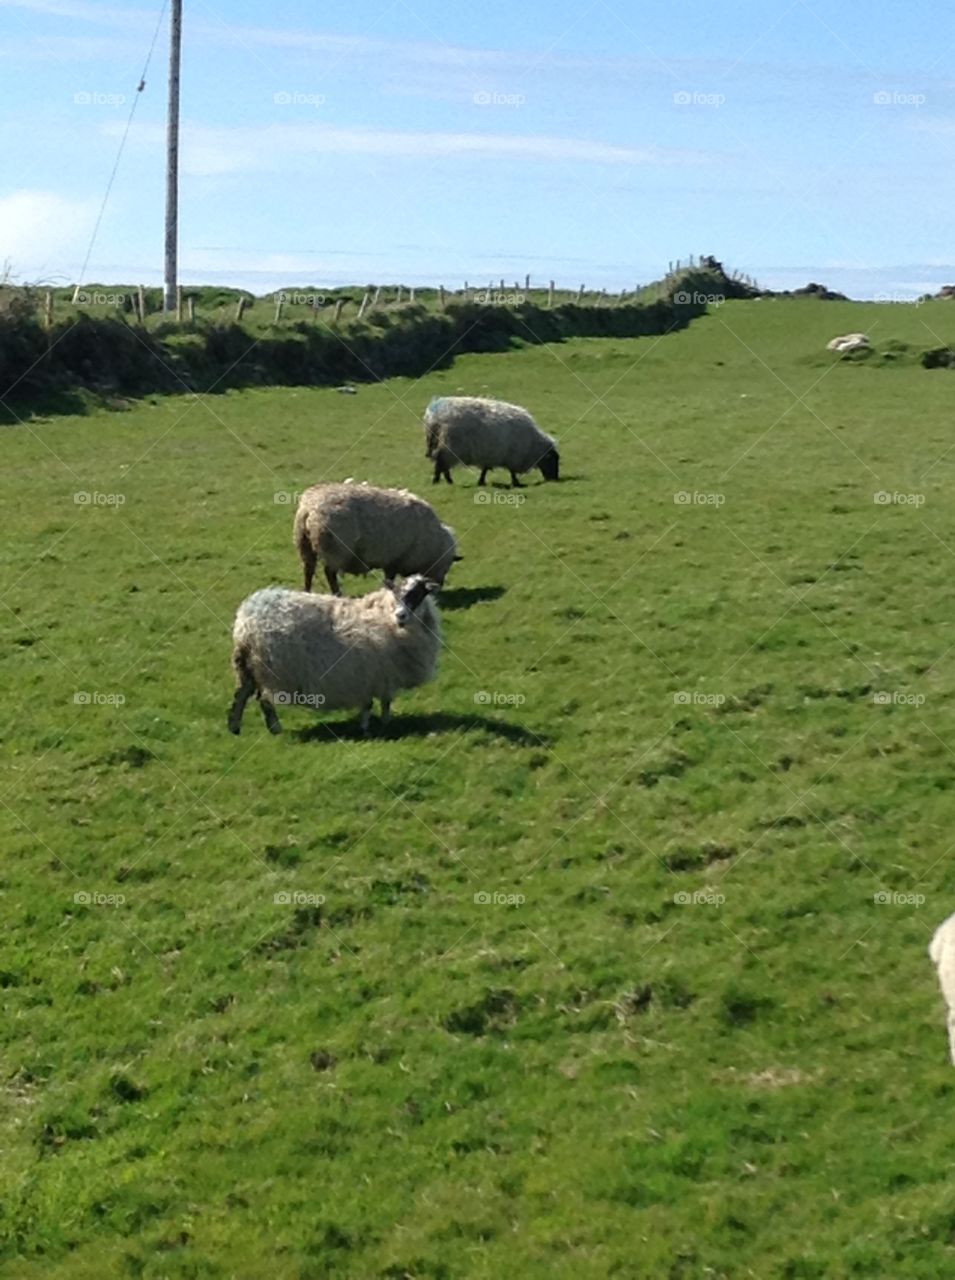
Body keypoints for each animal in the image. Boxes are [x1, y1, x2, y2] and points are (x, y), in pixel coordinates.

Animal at [229, 576, 440, 737]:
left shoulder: (371, 674)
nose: (400, 615)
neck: (386, 618)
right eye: (396, 593)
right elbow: (377, 703)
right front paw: (374, 726)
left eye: (417, 593)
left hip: (249, 666)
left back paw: (235, 728)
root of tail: (245, 618)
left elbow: (376, 702)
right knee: (263, 700)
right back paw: (274, 728)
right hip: (267, 668)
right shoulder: (378, 673)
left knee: (242, 694)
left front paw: (378, 724)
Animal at [291, 481, 458, 596]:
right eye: (448, 564)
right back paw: (337, 594)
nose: (438, 587)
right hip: (335, 549)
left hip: (304, 544)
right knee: (330, 574)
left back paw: (307, 592)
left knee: (308, 570)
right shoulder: (396, 560)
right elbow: (390, 579)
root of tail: (309, 509)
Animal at [422, 391, 558, 486]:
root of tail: (433, 416)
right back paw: (439, 481)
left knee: (442, 464)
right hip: (449, 445)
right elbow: (512, 472)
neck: (533, 446)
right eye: (552, 460)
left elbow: (485, 469)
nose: (555, 479)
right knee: (440, 462)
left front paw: (481, 481)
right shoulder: (512, 457)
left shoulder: (490, 455)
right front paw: (516, 483)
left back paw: (447, 481)